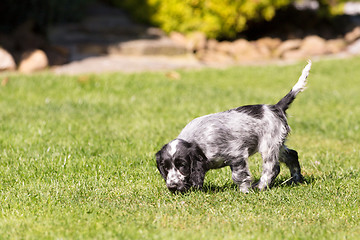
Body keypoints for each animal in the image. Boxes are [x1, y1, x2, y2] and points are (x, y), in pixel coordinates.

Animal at [156, 60, 310, 193]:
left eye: (182, 165)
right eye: (165, 167)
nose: (172, 187)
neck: (197, 141)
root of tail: (276, 107)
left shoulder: (236, 155)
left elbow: (239, 176)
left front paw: (244, 192)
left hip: (268, 146)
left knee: (273, 168)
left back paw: (260, 186)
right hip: (278, 144)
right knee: (292, 155)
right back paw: (296, 180)